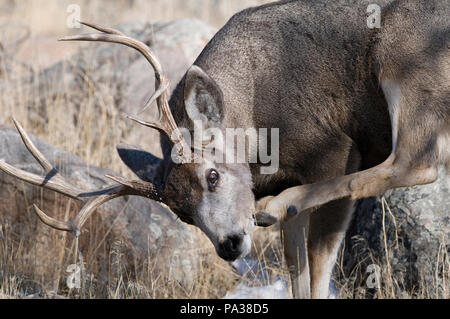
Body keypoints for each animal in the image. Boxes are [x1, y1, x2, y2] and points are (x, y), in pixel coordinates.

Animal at [1, 0, 448, 300]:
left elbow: (319, 265)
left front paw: (277, 208)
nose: (229, 244)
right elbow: (296, 268)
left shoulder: (334, 149)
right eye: (180, 213)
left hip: (405, 56)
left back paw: (277, 204)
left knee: (416, 161)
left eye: (212, 174)